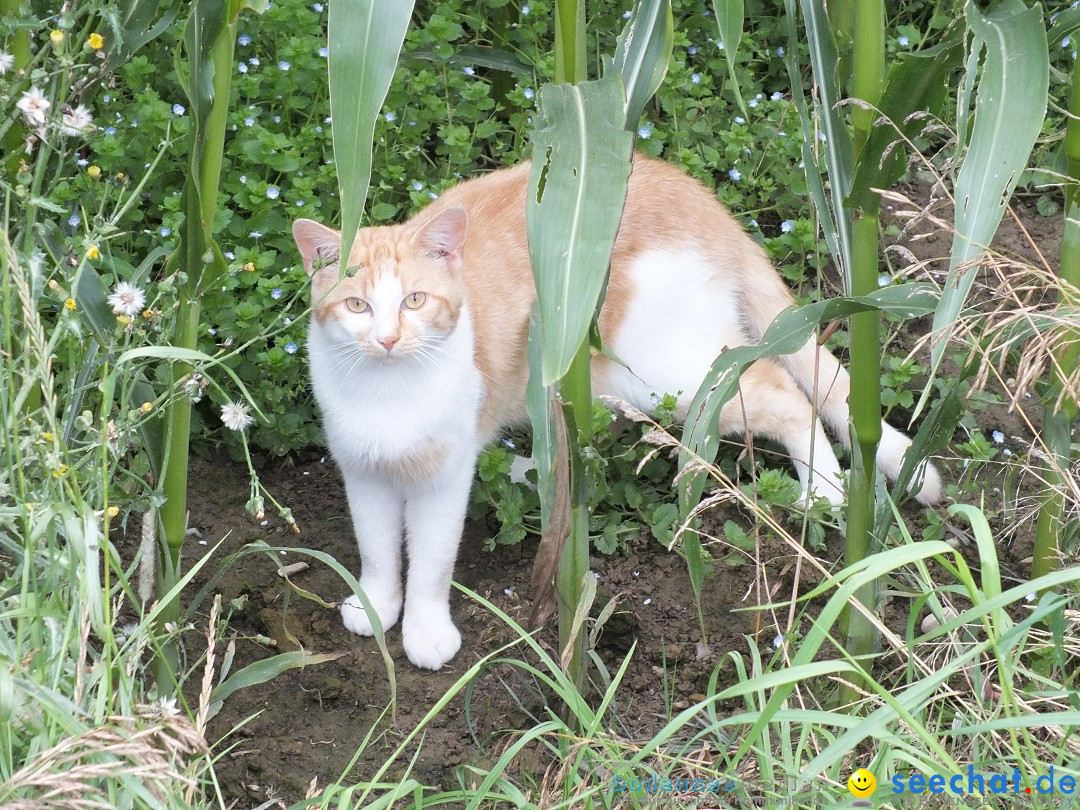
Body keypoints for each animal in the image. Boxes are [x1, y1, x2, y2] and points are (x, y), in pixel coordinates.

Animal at [291, 153, 941, 673]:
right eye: (357, 306)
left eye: (415, 301)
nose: (388, 338)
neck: (388, 391)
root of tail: (688, 188)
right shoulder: (362, 473)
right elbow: (377, 551)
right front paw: (376, 605)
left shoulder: (443, 481)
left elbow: (429, 561)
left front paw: (424, 634)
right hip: (601, 383)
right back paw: (533, 470)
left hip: (670, 379)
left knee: (786, 392)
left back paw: (825, 490)